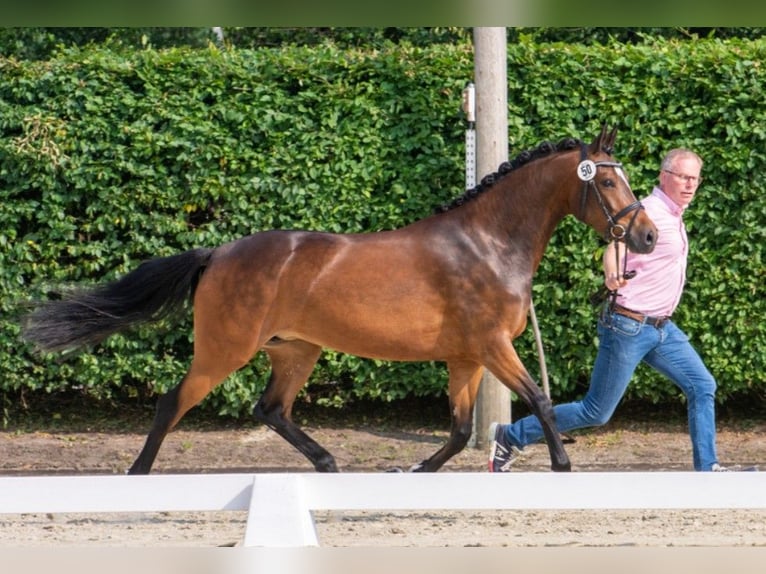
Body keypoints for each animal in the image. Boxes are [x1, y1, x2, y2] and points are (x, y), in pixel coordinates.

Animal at [21, 125, 657, 475]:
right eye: (606, 180)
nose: (648, 236)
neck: (487, 244)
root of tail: (218, 254)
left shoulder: (466, 357)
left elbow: (457, 431)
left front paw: (417, 470)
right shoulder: (492, 346)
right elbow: (540, 400)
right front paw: (562, 463)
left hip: (296, 351)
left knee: (270, 409)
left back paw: (326, 462)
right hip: (224, 351)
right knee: (172, 403)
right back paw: (138, 473)